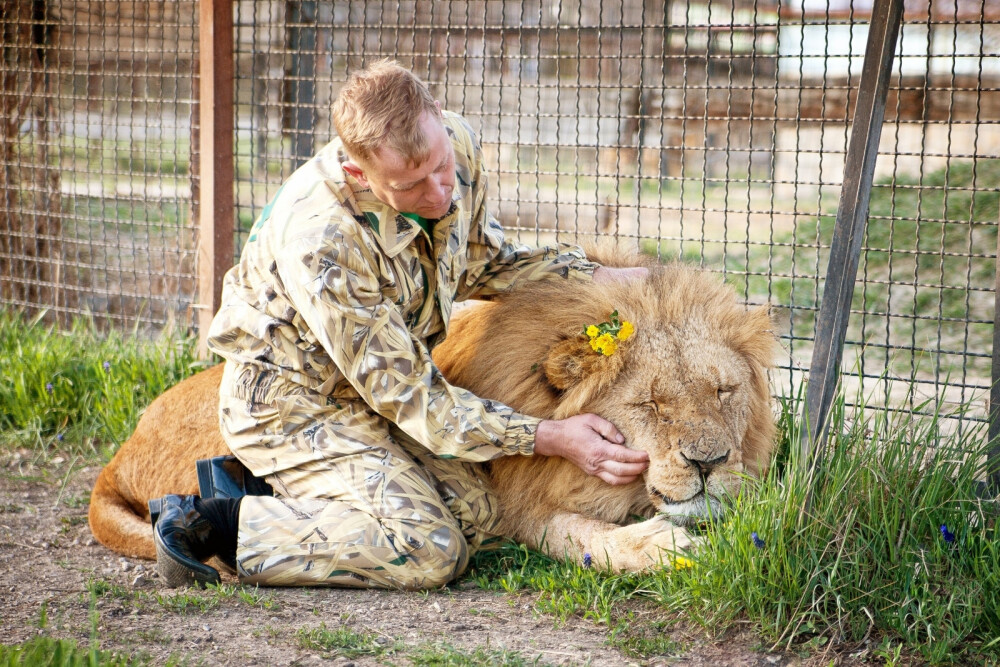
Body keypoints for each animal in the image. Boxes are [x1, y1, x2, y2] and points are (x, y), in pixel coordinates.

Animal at [90, 256, 776, 576]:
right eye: (649, 405)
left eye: (723, 392)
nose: (710, 463)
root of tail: (119, 454)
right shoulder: (516, 503)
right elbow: (582, 537)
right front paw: (669, 547)